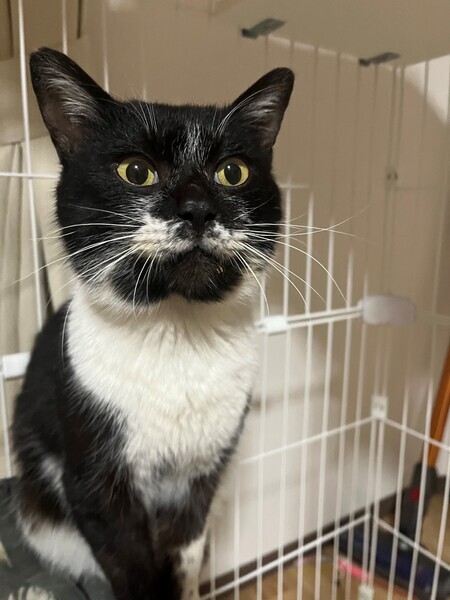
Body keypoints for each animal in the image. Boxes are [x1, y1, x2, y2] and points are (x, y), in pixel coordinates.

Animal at [12, 47, 293, 600]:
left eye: (233, 172)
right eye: (136, 170)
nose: (198, 208)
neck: (176, 331)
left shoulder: (201, 480)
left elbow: (182, 558)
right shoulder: (96, 485)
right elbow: (134, 570)